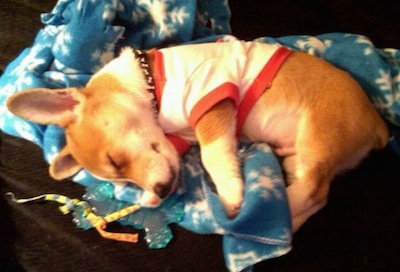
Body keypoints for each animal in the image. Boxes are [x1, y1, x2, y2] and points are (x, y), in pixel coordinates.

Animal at [4, 41, 390, 232]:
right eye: (119, 178)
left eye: (115, 160)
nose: (161, 191)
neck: (149, 81)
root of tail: (378, 124)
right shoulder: (181, 135)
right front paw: (150, 199)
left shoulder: (212, 103)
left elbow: (213, 155)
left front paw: (233, 195)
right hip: (298, 155)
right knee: (317, 192)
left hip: (318, 134)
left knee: (314, 188)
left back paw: (273, 214)